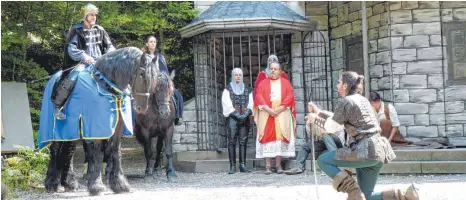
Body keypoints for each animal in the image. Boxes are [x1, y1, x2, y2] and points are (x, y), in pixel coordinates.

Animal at [42, 47, 158, 195]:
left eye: (154, 77)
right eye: (142, 74)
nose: (141, 108)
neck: (106, 84)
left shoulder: (117, 130)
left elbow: (116, 152)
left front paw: (120, 185)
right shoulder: (95, 128)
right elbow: (97, 154)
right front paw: (96, 186)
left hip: (71, 129)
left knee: (69, 151)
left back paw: (69, 183)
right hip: (56, 128)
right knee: (55, 150)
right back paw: (51, 183)